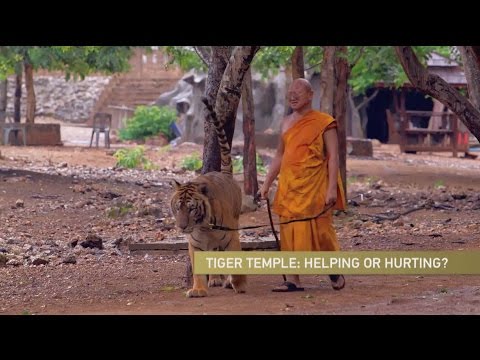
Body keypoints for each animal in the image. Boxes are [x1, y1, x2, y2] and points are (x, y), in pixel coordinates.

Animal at [170, 97, 246, 296]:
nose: (182, 227)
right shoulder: (195, 246)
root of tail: (225, 174)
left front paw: (238, 284)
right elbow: (198, 270)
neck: (203, 228)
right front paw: (198, 290)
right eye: (177, 208)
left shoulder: (231, 239)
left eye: (191, 208)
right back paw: (215, 280)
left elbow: (235, 265)